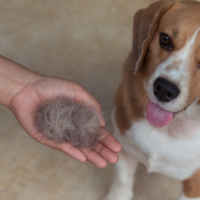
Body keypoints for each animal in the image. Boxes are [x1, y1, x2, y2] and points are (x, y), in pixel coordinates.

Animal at [104, 0, 200, 200]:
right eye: (165, 39)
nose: (164, 89)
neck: (168, 129)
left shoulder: (195, 185)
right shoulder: (124, 147)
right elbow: (122, 180)